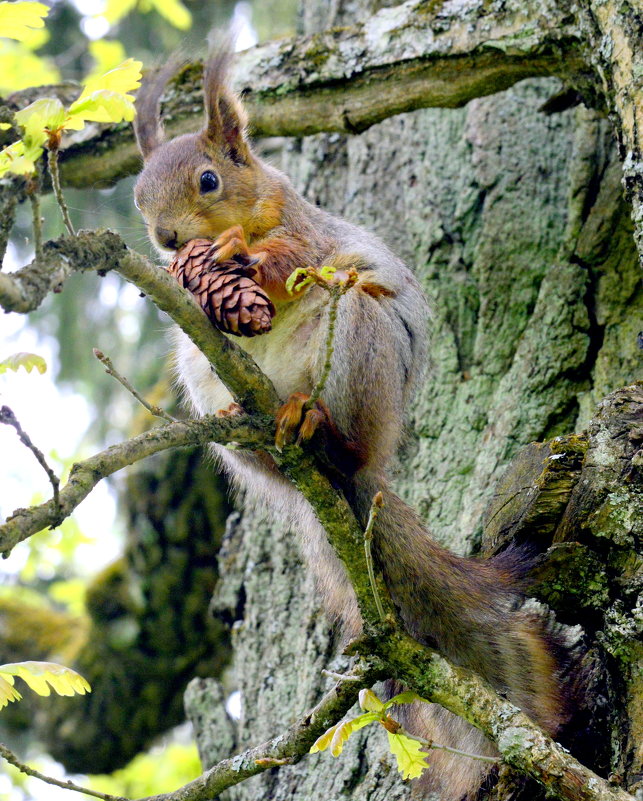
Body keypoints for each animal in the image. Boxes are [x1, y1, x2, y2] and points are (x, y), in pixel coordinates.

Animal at [133, 45, 572, 800]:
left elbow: (289, 260)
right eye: (137, 193)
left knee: (340, 420)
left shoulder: (306, 233)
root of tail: (352, 476)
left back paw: (313, 421)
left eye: (209, 179)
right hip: (201, 371)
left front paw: (240, 258)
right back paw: (241, 417)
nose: (166, 237)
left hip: (358, 333)